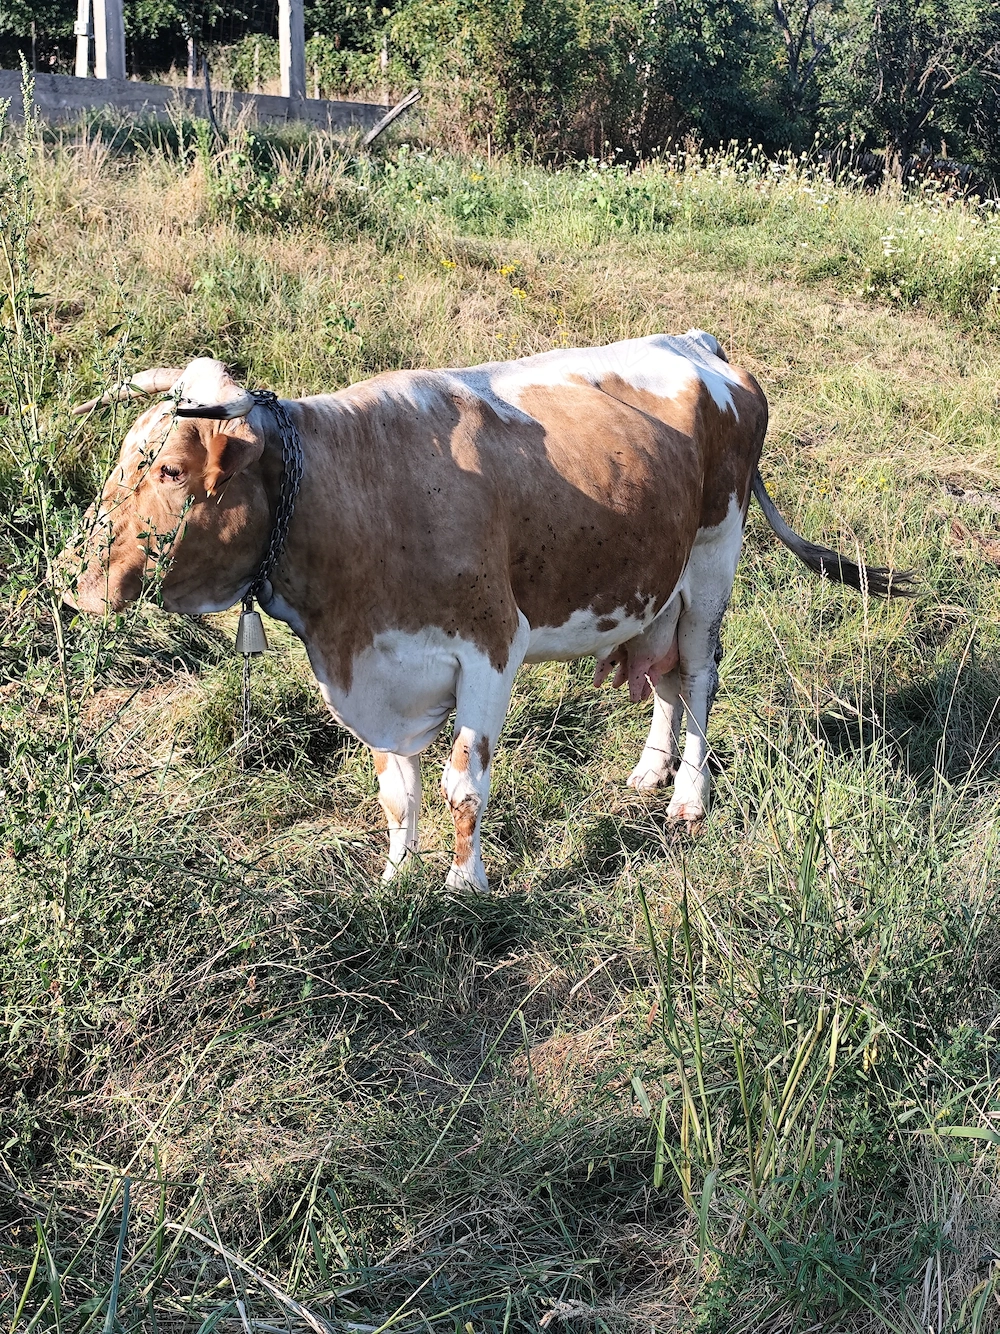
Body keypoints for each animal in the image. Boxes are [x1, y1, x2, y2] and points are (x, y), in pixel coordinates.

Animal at [62, 332, 911, 891]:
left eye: (172, 470)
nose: (73, 578)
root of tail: (704, 345)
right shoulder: (379, 669)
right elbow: (395, 792)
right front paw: (394, 878)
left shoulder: (491, 648)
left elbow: (464, 783)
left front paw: (464, 886)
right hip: (653, 582)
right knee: (666, 680)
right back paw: (648, 769)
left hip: (712, 559)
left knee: (700, 677)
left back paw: (687, 798)